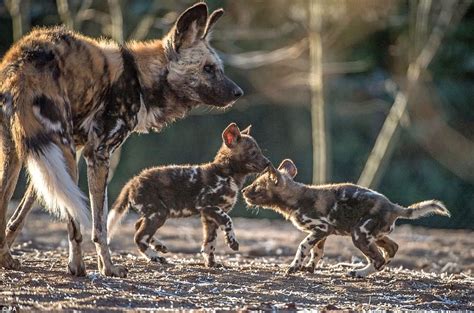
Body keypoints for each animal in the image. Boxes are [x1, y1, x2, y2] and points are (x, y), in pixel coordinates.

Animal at [0, 2, 243, 276]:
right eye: (208, 69)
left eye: (218, 68)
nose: (238, 93)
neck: (140, 79)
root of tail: (25, 55)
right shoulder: (97, 154)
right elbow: (100, 226)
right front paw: (108, 268)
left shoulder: (52, 154)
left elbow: (19, 215)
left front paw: (6, 255)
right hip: (66, 155)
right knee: (76, 224)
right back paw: (77, 268)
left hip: (20, 154)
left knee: (4, 203)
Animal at [108, 122, 270, 266]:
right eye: (253, 153)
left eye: (260, 151)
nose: (268, 163)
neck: (227, 174)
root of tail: (133, 181)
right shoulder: (209, 207)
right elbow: (228, 221)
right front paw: (232, 243)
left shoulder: (209, 217)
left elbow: (209, 243)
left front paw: (211, 263)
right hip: (159, 213)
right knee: (139, 237)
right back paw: (155, 257)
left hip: (154, 213)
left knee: (138, 226)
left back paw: (159, 247)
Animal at [243, 160, 450, 276]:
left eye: (256, 186)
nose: (243, 191)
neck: (296, 199)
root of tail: (393, 206)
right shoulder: (322, 233)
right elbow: (317, 252)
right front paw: (309, 268)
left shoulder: (320, 228)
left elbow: (303, 247)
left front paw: (294, 267)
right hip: (374, 235)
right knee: (391, 249)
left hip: (359, 235)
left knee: (378, 259)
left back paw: (360, 273)